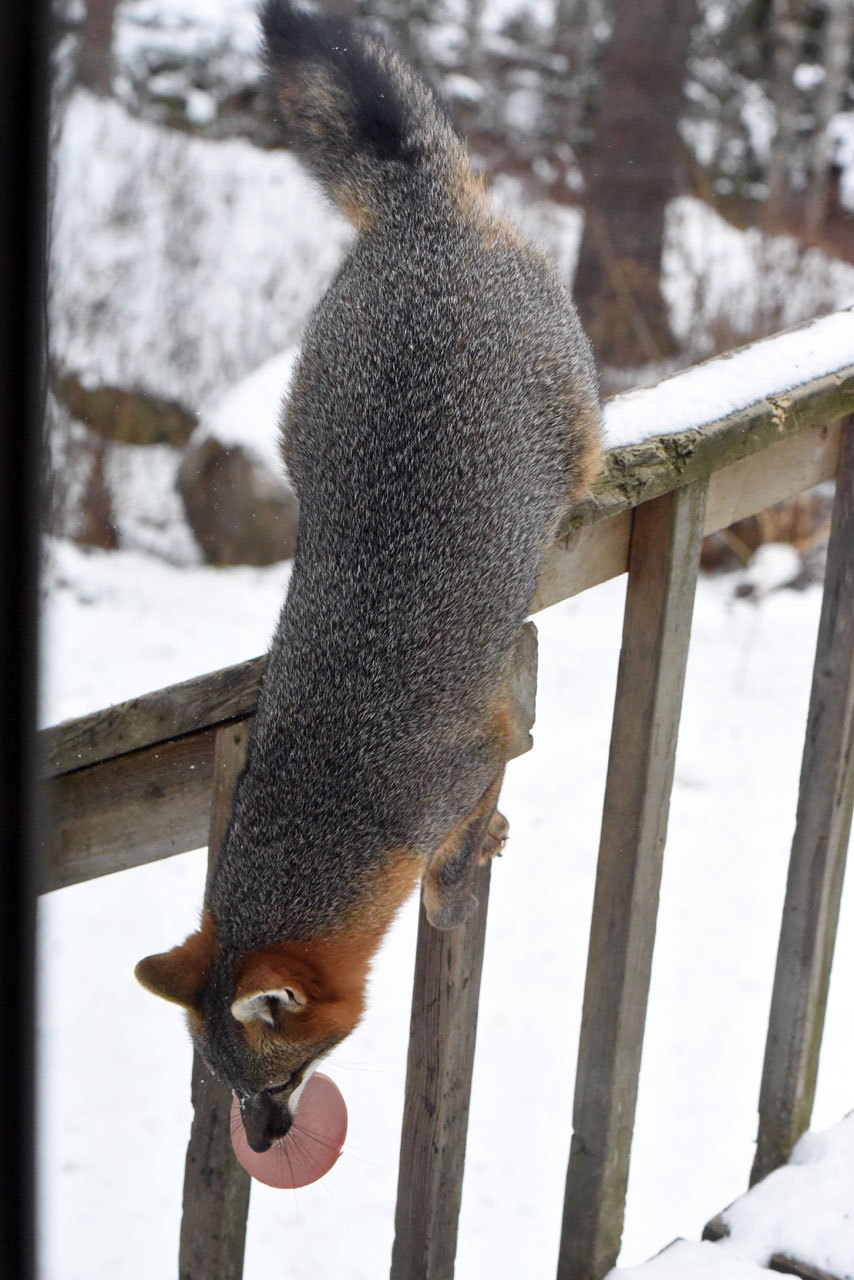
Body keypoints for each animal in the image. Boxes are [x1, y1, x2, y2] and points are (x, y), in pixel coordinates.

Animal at [135, 0, 601, 1155]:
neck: (331, 795)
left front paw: (456, 881)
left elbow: (458, 847)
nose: (263, 1143)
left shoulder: (482, 748)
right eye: (221, 1081)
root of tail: (424, 219)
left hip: (575, 426)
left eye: (284, 1073)